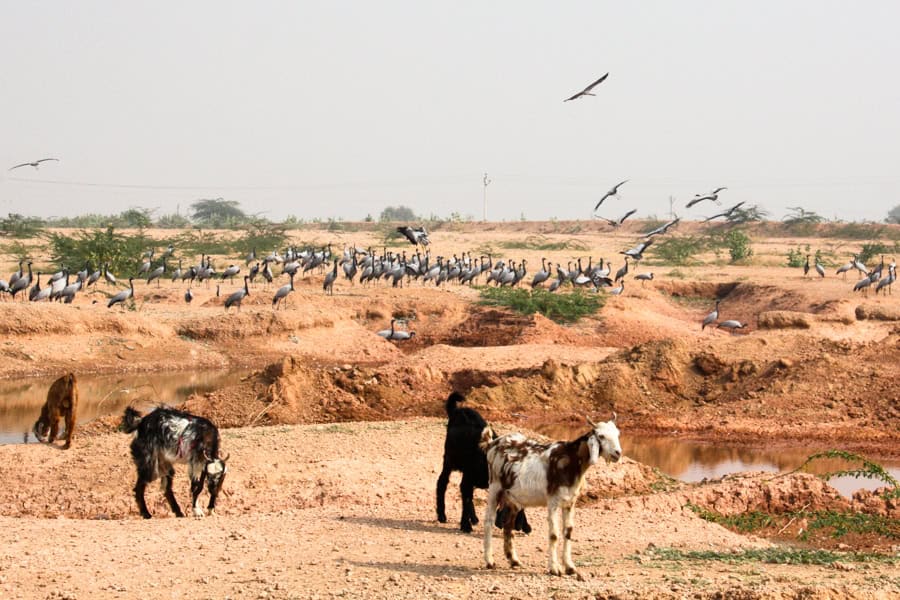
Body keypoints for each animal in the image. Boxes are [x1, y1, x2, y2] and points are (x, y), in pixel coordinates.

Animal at [434, 394, 528, 536]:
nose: (517, 527)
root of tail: (458, 411)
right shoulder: (469, 478)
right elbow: (466, 500)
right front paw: (465, 525)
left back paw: (473, 518)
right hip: (449, 461)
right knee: (442, 482)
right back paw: (442, 515)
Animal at [482, 414, 624, 576]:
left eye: (617, 434)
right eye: (601, 436)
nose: (617, 453)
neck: (571, 460)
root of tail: (492, 444)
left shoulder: (570, 502)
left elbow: (568, 532)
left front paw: (569, 567)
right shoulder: (553, 501)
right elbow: (554, 535)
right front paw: (554, 568)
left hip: (513, 498)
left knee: (508, 525)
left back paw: (514, 560)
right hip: (494, 488)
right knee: (489, 521)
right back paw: (489, 561)